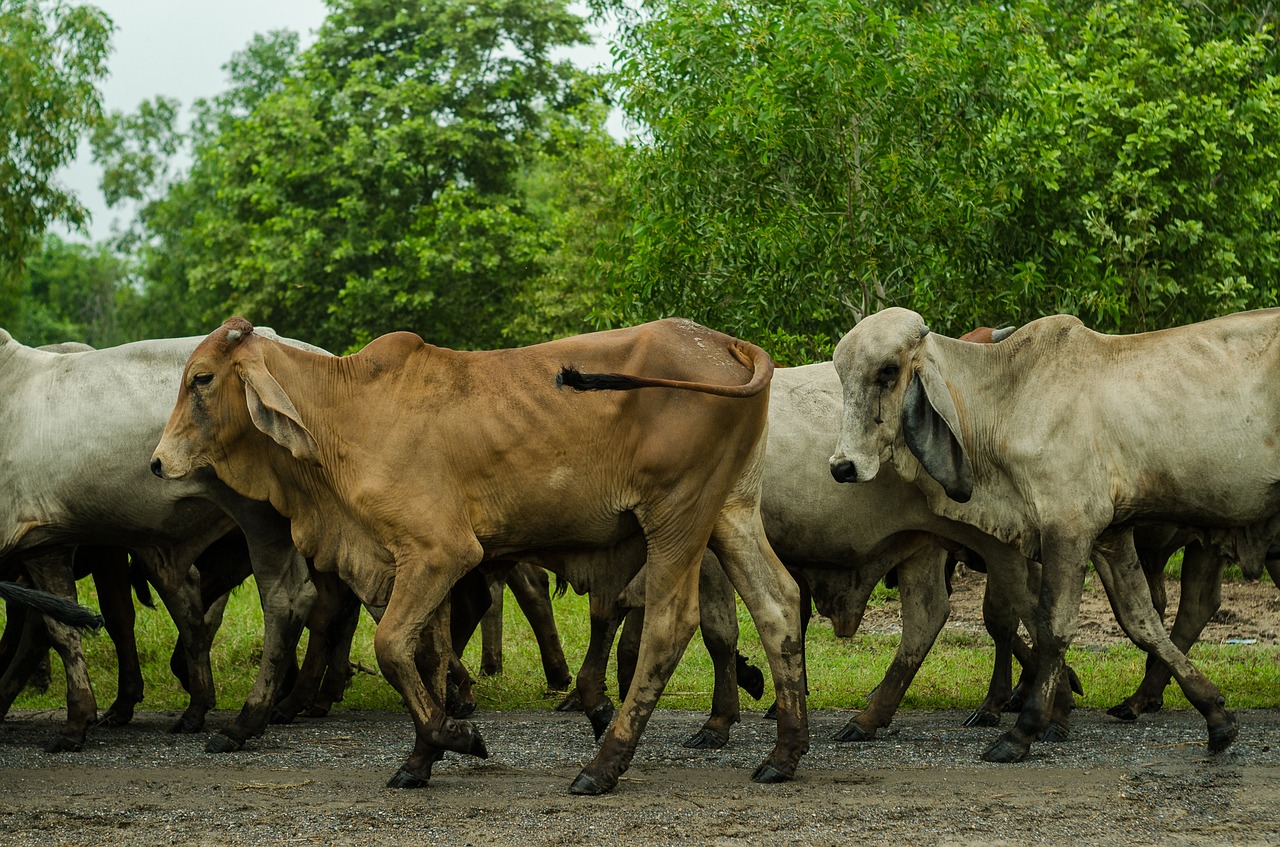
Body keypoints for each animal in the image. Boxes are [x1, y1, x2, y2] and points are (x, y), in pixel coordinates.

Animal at [149, 318, 803, 798]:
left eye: (201, 378)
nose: (156, 462)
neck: (345, 412)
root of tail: (721, 342)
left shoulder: (439, 552)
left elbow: (392, 648)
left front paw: (458, 737)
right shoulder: (417, 564)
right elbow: (431, 657)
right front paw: (421, 758)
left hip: (675, 516)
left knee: (671, 623)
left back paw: (604, 763)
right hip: (730, 510)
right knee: (778, 602)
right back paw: (785, 752)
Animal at [824, 307, 1274, 762]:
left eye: (888, 371)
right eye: (842, 374)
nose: (842, 466)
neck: (1009, 395)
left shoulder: (1067, 526)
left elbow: (1053, 628)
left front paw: (1024, 729)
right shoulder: (1109, 535)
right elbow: (1141, 622)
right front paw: (1216, 715)